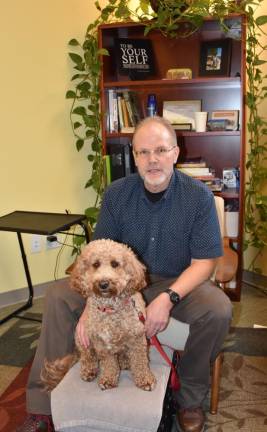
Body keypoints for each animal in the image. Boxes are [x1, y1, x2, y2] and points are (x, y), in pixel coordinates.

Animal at [40, 240, 156, 392]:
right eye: (95, 264)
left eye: (115, 264)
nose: (103, 283)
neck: (110, 309)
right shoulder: (101, 343)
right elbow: (109, 364)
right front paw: (108, 379)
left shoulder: (137, 339)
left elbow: (140, 362)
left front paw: (145, 380)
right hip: (82, 339)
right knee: (87, 358)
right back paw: (89, 370)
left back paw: (124, 362)